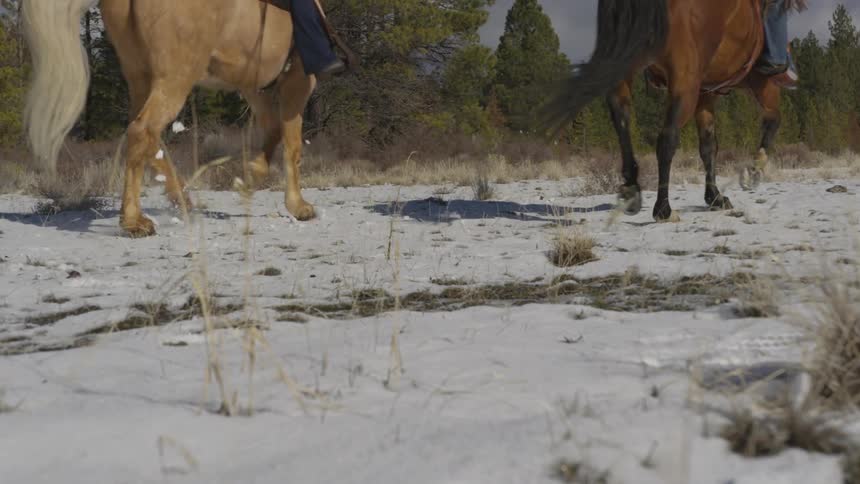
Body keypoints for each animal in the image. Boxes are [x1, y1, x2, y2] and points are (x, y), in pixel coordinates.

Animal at [23, 0, 317, 237]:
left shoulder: (252, 87)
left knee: (146, 137)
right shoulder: (299, 82)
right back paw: (134, 221)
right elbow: (293, 146)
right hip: (175, 78)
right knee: (143, 131)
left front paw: (252, 175)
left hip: (140, 79)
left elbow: (274, 130)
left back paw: (178, 200)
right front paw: (298, 206)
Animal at [541, 0, 793, 222]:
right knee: (667, 139)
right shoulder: (761, 82)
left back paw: (632, 189)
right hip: (684, 82)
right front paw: (754, 169)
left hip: (628, 69)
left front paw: (714, 197)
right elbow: (774, 119)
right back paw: (663, 209)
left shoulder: (707, 93)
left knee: (621, 120)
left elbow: (708, 146)